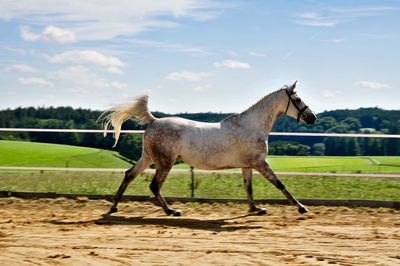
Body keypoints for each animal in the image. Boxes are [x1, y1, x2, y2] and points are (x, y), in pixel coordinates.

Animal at [99, 81, 316, 216]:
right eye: (297, 100)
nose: (312, 118)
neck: (251, 125)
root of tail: (154, 121)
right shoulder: (260, 163)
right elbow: (280, 184)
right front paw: (301, 207)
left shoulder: (247, 165)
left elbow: (249, 187)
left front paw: (256, 209)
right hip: (165, 162)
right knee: (154, 185)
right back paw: (171, 211)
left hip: (149, 157)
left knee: (129, 174)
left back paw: (114, 206)